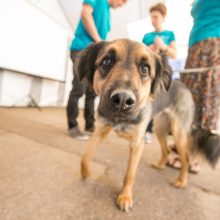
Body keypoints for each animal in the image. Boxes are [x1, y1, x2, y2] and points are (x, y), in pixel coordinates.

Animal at [73, 39, 220, 211]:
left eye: (145, 69)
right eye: (106, 61)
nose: (122, 100)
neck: (121, 120)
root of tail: (184, 86)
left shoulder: (138, 143)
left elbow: (129, 174)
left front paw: (125, 197)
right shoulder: (100, 129)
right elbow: (85, 157)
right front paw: (86, 174)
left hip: (178, 133)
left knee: (186, 158)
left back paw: (182, 181)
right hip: (160, 128)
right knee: (166, 150)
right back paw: (160, 165)